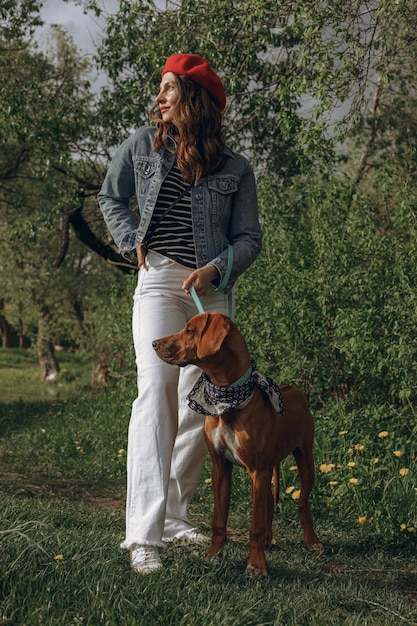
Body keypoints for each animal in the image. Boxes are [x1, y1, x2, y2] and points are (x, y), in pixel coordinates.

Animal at [151, 312, 320, 576]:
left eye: (189, 330)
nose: (154, 343)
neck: (227, 397)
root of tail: (294, 389)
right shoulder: (221, 467)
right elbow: (219, 520)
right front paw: (213, 556)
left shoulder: (258, 470)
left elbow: (255, 524)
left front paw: (257, 565)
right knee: (268, 504)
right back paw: (269, 540)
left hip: (305, 459)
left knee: (303, 503)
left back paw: (311, 541)